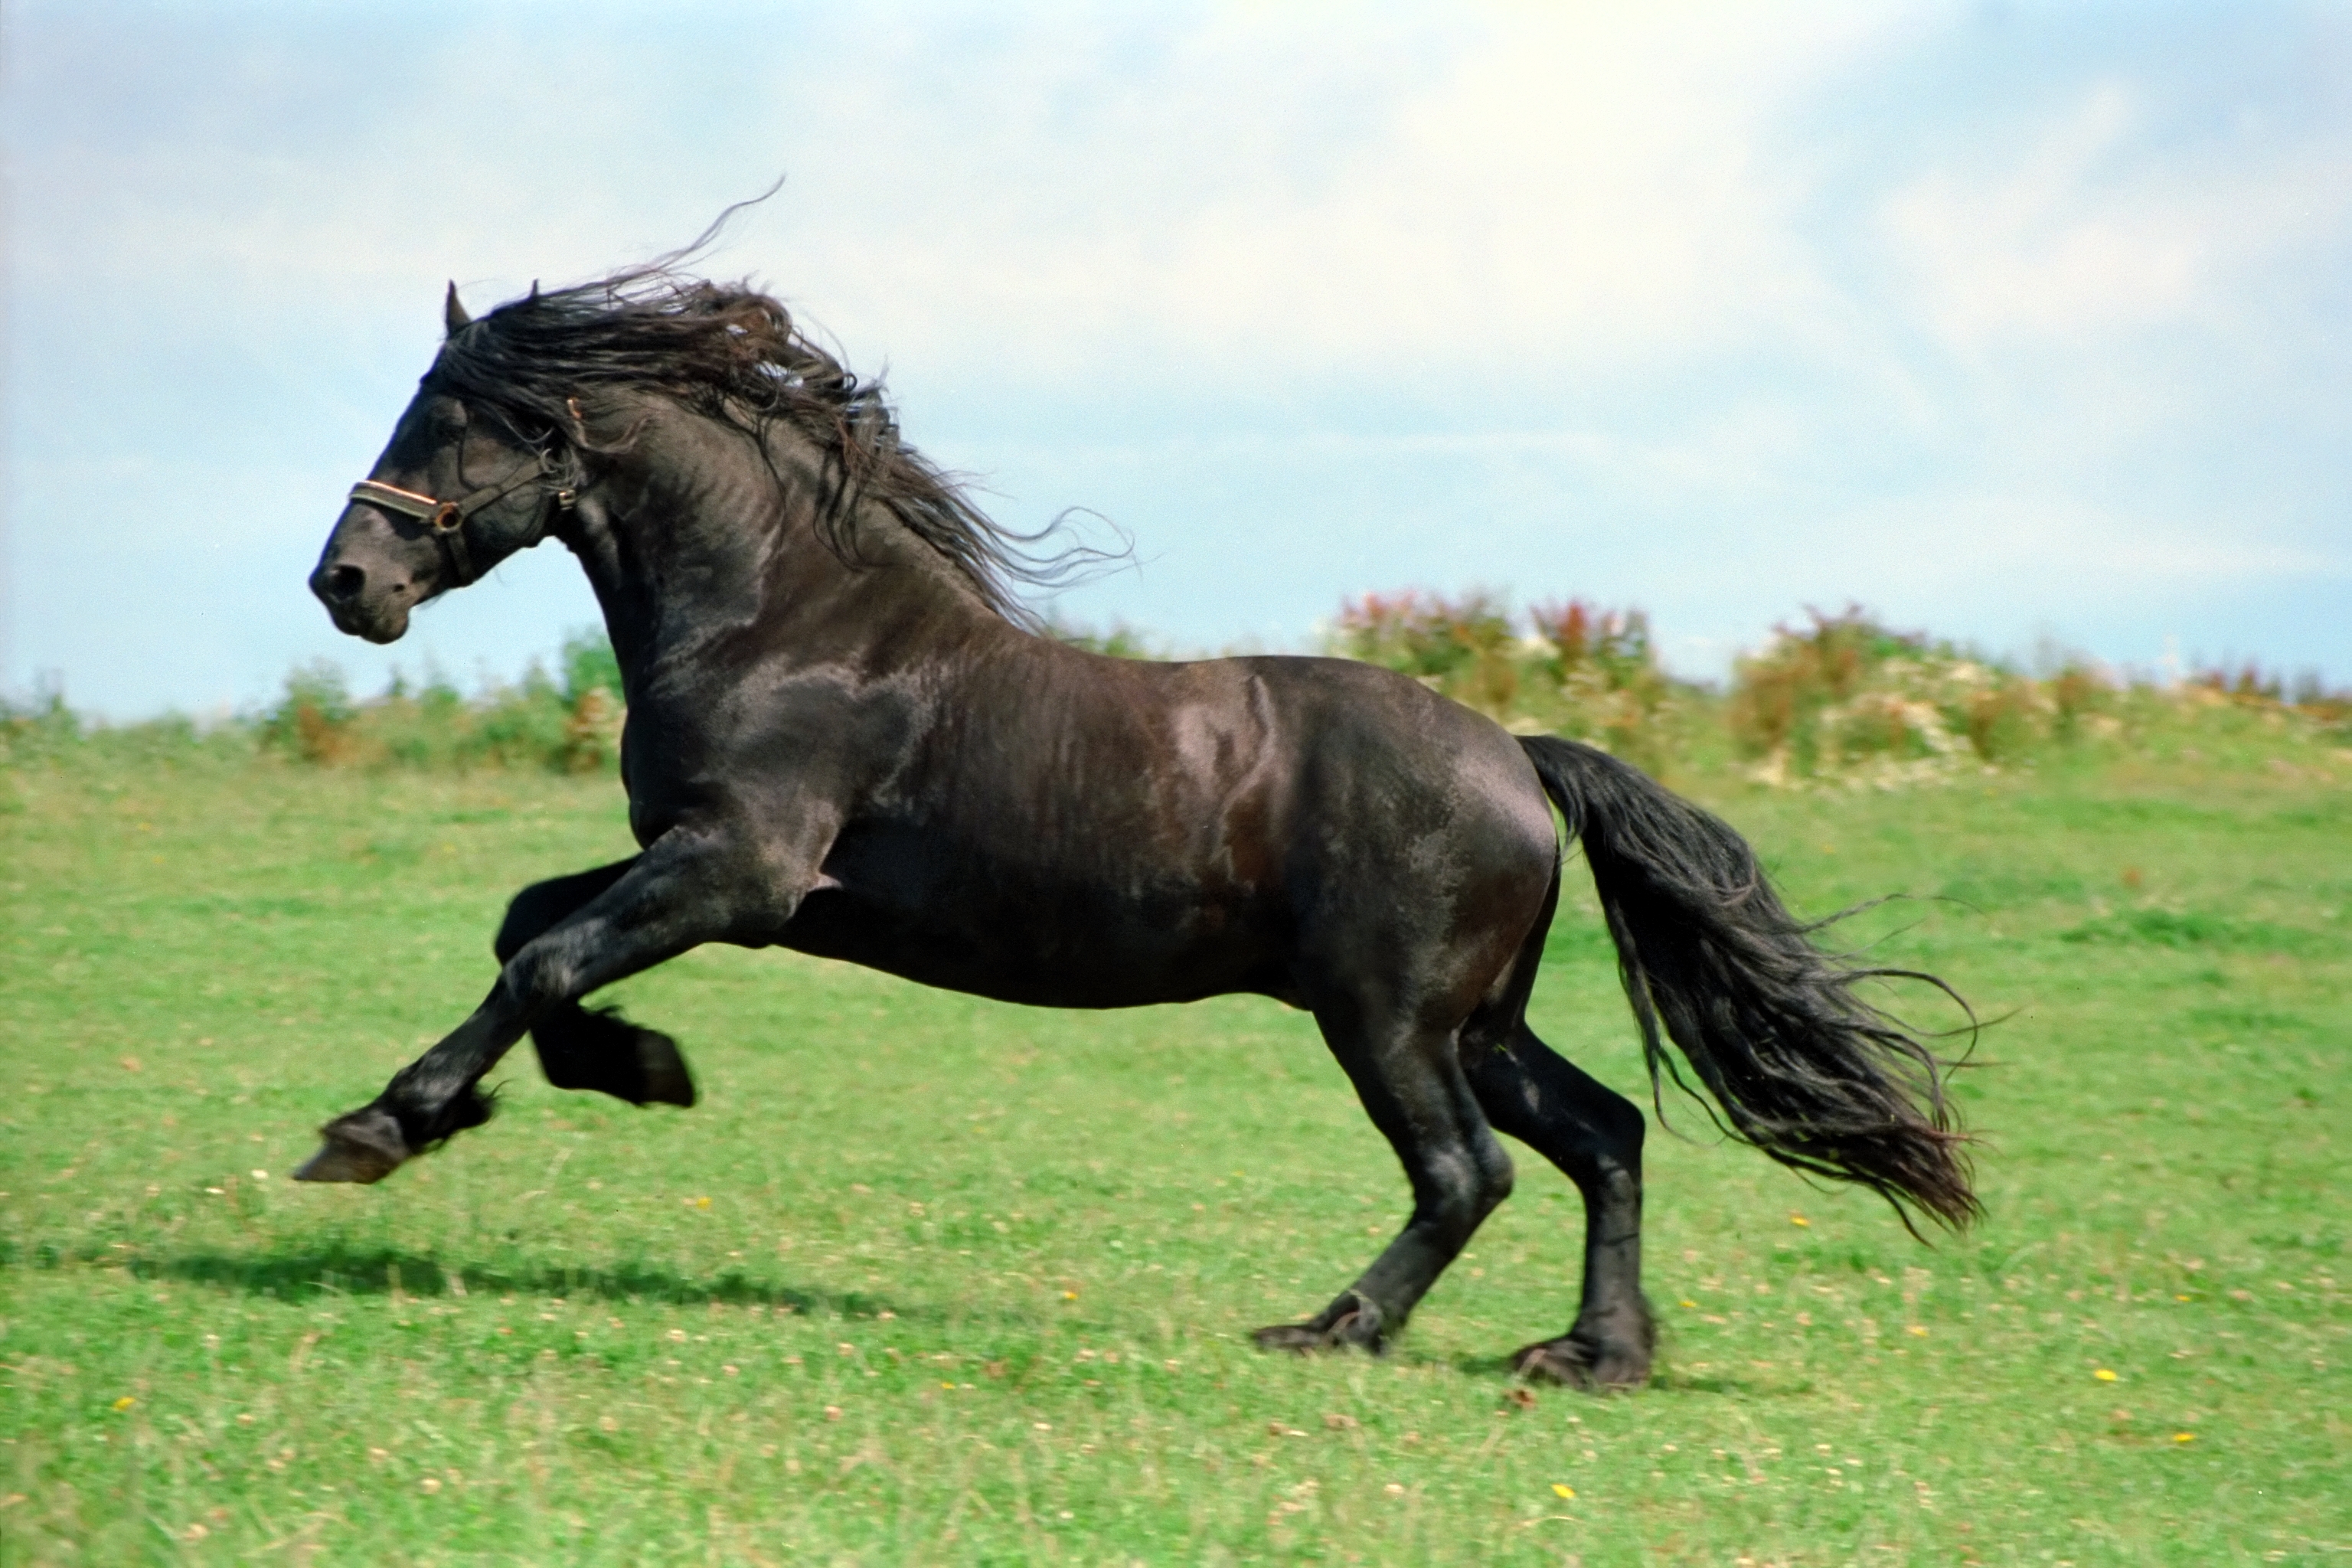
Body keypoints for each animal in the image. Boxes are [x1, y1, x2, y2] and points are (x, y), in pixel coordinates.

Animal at [299, 264, 1976, 1388]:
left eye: (453, 418)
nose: (346, 583)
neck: (791, 623)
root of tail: (1515, 755)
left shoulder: (744, 873)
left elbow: (542, 957)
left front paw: (380, 1127)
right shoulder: (715, 865)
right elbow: (532, 926)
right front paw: (630, 1069)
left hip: (1385, 1017)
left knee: (1469, 1171)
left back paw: (1330, 1328)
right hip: (1474, 1018)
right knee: (1604, 1135)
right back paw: (1588, 1354)